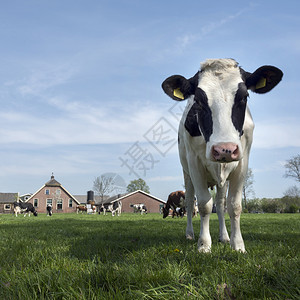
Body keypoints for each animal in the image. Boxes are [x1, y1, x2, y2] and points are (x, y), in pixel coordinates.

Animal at [163, 57, 282, 252]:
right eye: (198, 100)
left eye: (244, 96)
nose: (224, 149)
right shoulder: (194, 164)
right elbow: (204, 204)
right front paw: (204, 245)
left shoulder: (242, 163)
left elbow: (234, 206)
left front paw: (238, 244)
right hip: (187, 173)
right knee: (190, 202)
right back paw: (189, 234)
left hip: (222, 178)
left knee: (220, 204)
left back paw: (224, 236)